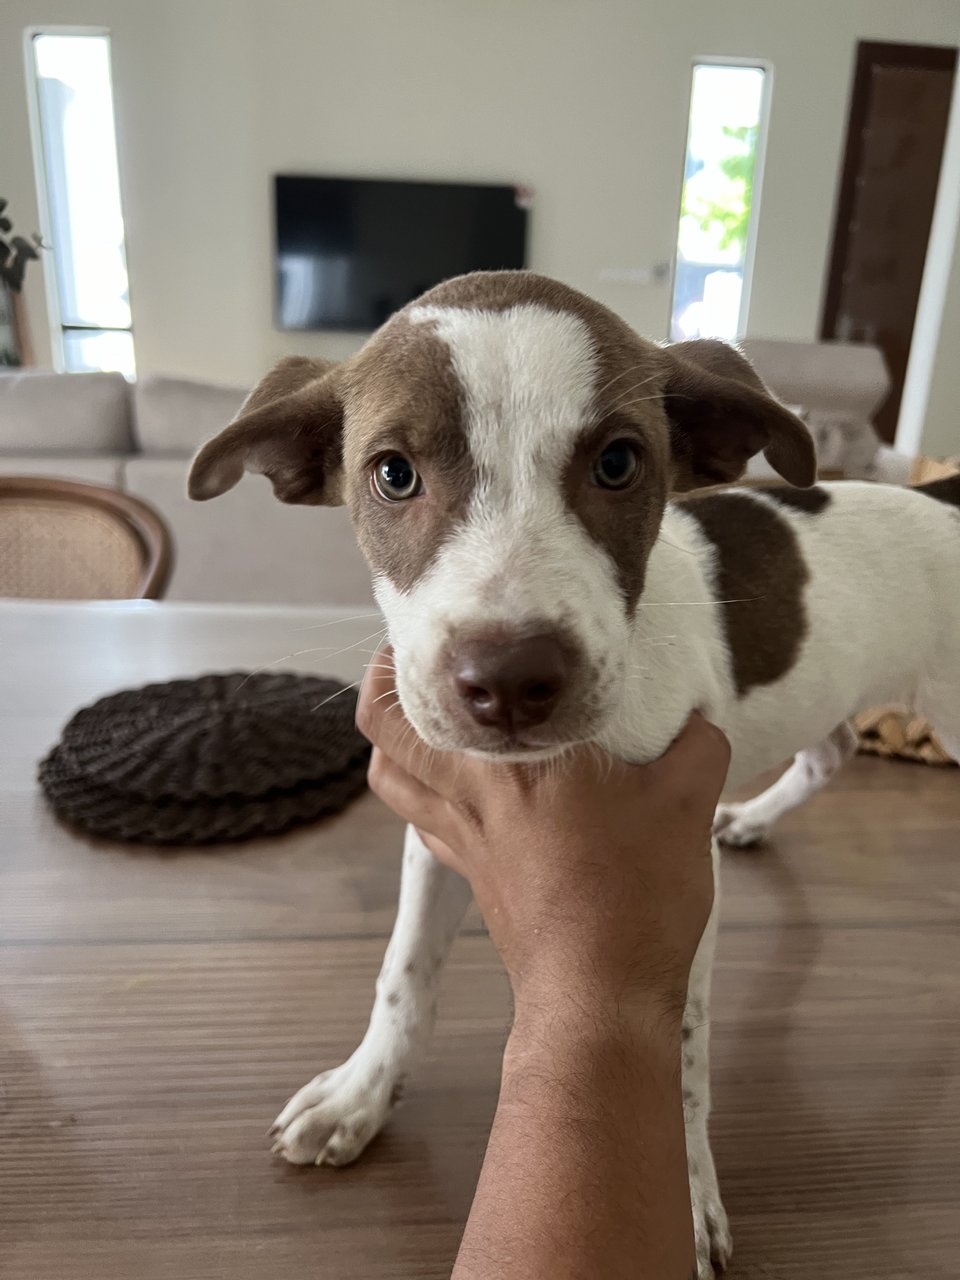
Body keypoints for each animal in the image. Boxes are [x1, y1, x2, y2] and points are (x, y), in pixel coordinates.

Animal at [189, 270, 960, 1280]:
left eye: (620, 463)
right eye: (393, 473)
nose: (512, 680)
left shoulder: (678, 875)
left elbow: (677, 1049)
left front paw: (684, 1197)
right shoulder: (435, 828)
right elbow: (403, 973)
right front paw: (363, 1092)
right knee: (832, 750)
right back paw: (755, 815)